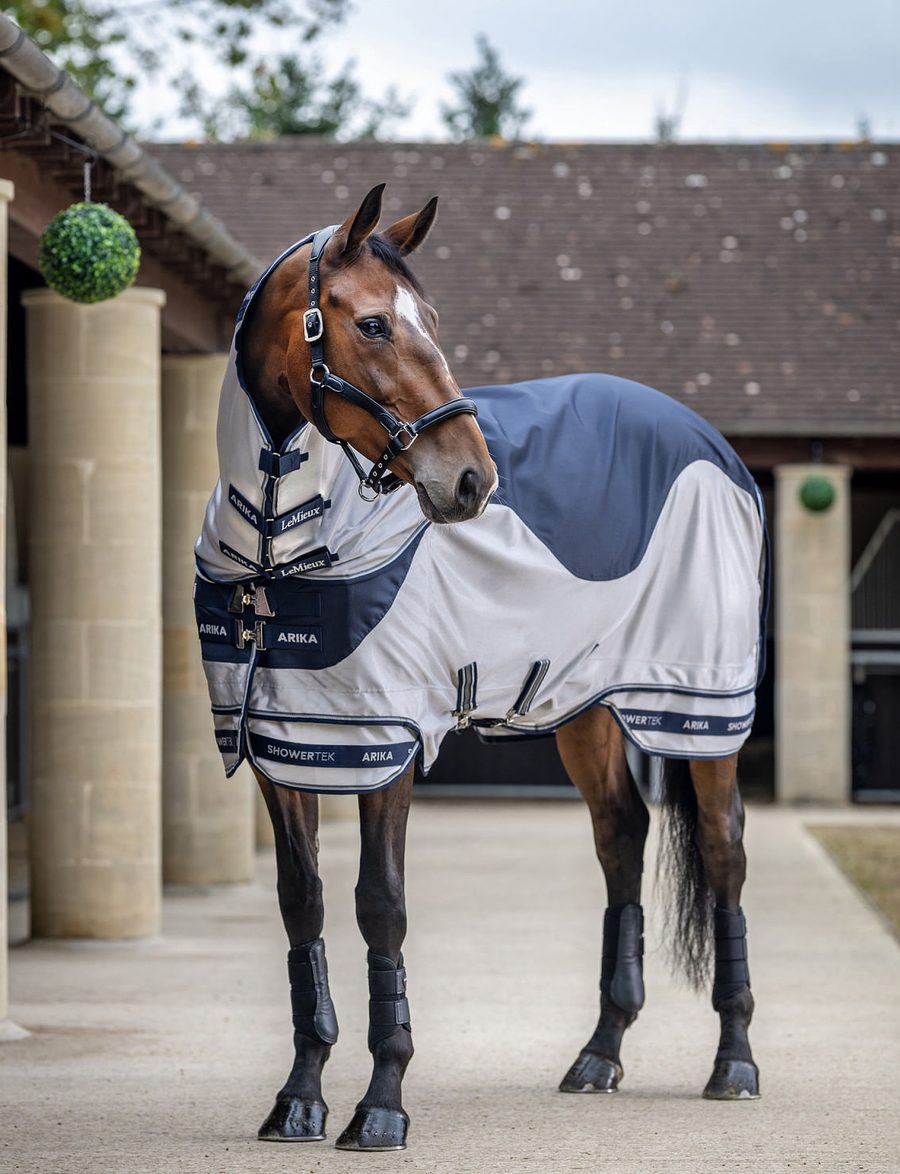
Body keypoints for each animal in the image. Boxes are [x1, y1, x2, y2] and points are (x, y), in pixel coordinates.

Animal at [193, 184, 766, 1151]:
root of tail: (717, 451)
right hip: (585, 710)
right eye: (374, 324)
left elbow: (380, 906)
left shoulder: (385, 744)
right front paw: (299, 1098)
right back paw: (599, 1055)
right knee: (621, 840)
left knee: (723, 854)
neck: (278, 538)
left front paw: (382, 1105)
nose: (470, 481)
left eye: (433, 321)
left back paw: (734, 1064)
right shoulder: (283, 746)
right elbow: (302, 904)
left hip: (695, 712)